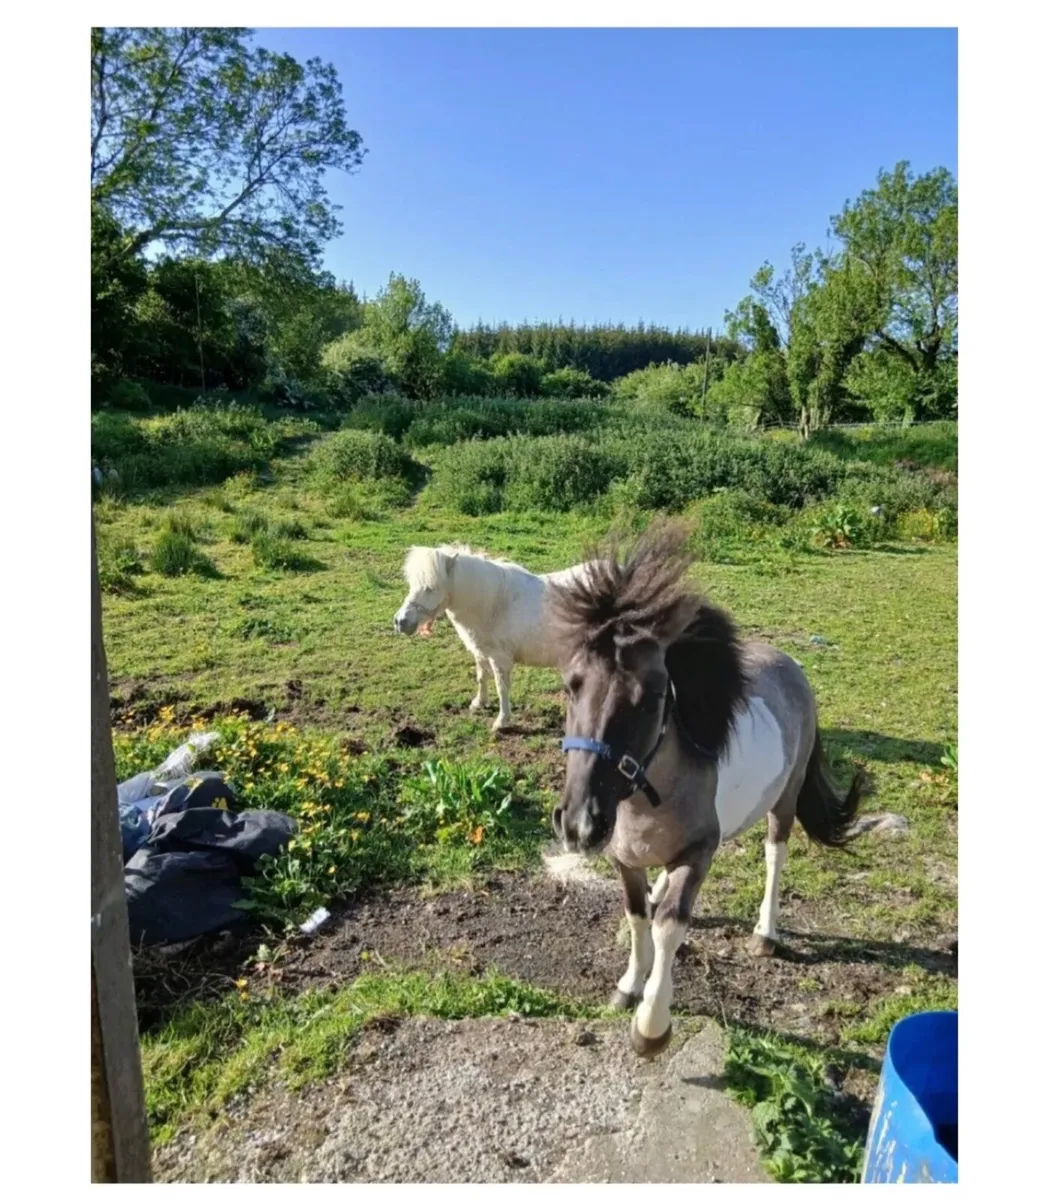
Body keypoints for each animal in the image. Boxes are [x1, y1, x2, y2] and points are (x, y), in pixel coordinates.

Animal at [393, 544, 595, 732]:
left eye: (430, 588)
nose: (400, 621)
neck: (494, 604)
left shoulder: (500, 659)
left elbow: (501, 687)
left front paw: (502, 721)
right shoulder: (480, 651)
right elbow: (482, 676)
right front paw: (479, 703)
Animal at [547, 520, 863, 1058]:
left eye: (653, 694)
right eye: (572, 684)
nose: (580, 823)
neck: (644, 801)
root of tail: (791, 665)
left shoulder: (699, 851)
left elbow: (669, 927)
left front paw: (651, 1025)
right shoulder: (623, 858)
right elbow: (638, 917)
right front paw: (628, 986)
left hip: (784, 801)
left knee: (775, 855)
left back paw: (765, 932)